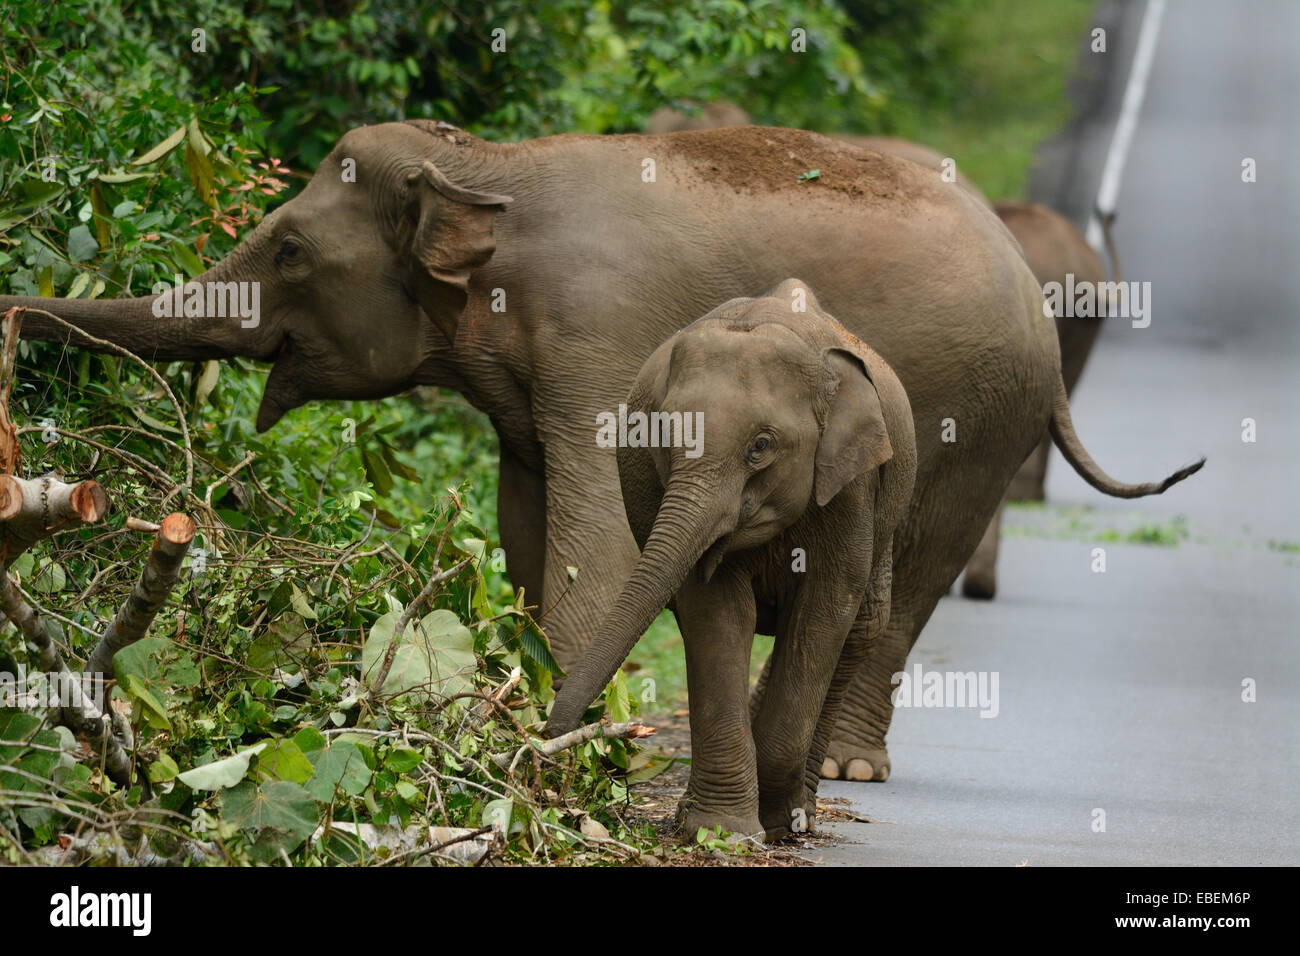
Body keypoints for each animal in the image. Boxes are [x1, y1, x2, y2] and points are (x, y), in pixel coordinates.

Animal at [544, 280, 917, 841]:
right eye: (663, 437)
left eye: (761, 446)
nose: (544, 745)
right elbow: (715, 610)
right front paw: (724, 830)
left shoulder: (850, 488)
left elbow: (825, 608)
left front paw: (774, 823)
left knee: (859, 631)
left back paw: (800, 812)